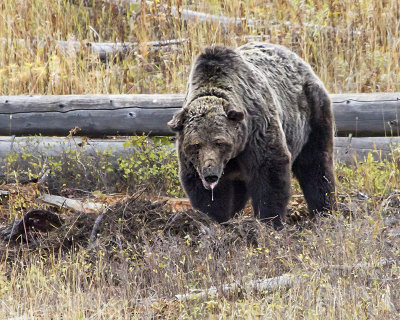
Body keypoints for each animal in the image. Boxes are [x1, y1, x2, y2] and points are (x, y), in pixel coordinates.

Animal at [167, 42, 336, 230]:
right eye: (196, 145)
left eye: (220, 142)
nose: (210, 174)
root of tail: (299, 59)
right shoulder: (192, 157)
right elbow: (203, 190)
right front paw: (214, 219)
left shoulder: (257, 130)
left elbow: (270, 172)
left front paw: (269, 221)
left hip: (313, 115)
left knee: (315, 165)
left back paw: (324, 211)